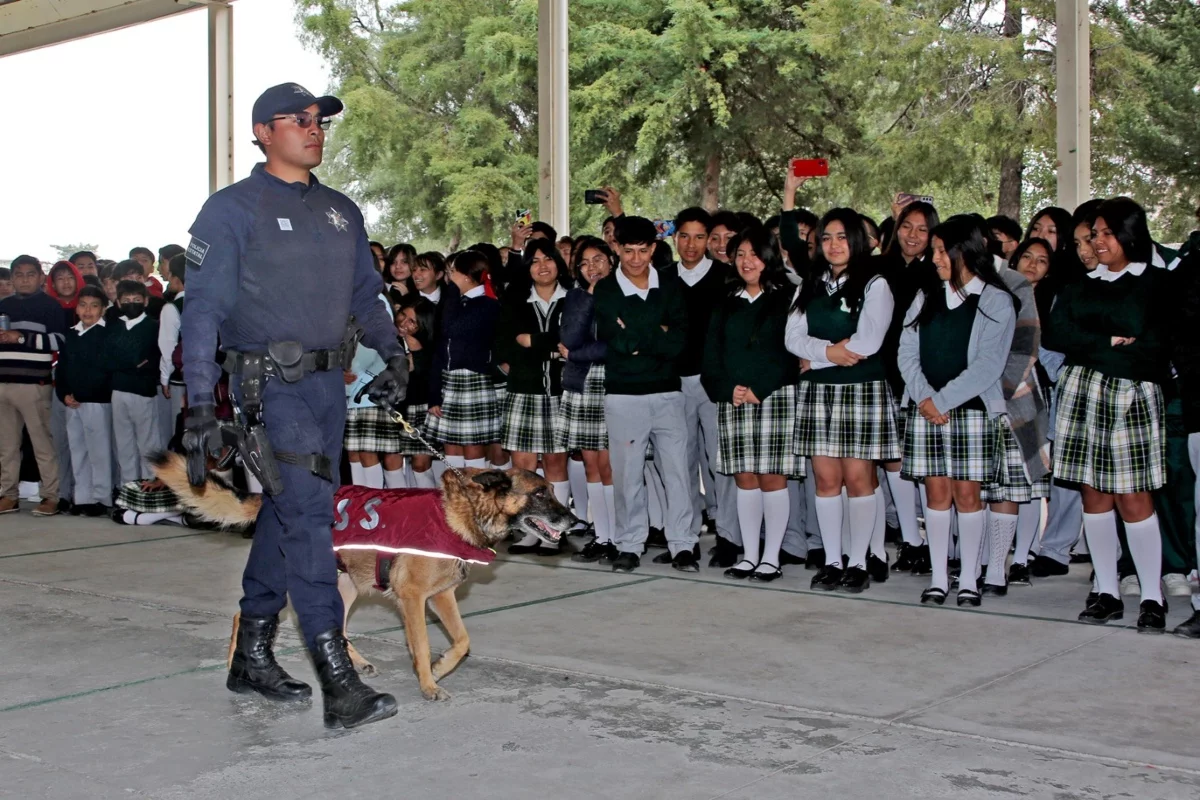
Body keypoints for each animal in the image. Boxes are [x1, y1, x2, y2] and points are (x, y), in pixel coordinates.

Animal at [151, 453, 576, 705]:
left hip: (344, 586)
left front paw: (440, 668)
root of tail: (276, 502)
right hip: (301, 582)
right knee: (246, 612)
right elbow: (423, 644)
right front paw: (428, 682)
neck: (464, 510)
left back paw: (356, 664)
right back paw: (236, 665)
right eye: (540, 493)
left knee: (335, 626)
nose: (574, 522)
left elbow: (462, 641)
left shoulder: (441, 597)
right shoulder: (413, 598)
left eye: (553, 490)